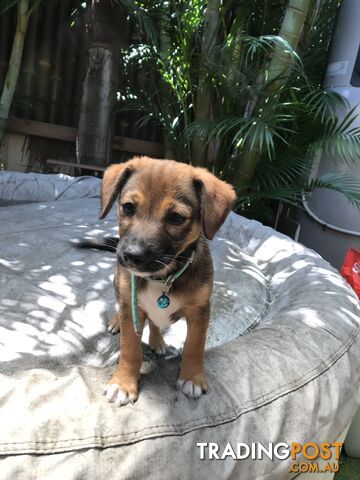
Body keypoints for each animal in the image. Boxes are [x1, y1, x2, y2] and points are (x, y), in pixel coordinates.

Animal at [100, 157, 235, 404]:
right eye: (128, 207)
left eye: (176, 217)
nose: (132, 255)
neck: (161, 278)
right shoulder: (132, 307)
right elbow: (130, 348)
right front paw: (123, 383)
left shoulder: (200, 310)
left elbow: (195, 345)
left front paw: (192, 377)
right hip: (118, 283)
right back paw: (117, 322)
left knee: (155, 323)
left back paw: (157, 342)